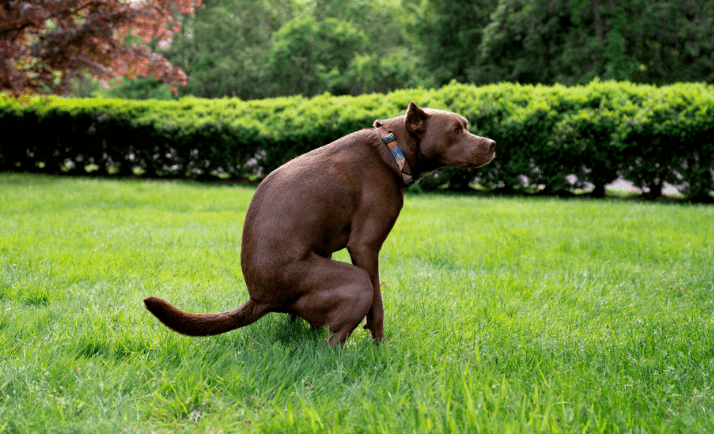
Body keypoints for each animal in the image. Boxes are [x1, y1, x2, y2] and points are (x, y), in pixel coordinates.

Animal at [142, 101, 492, 346]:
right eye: (456, 130)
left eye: (465, 126)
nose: (493, 144)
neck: (392, 148)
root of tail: (260, 297)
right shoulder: (365, 247)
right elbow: (378, 305)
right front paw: (380, 346)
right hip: (354, 282)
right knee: (332, 340)